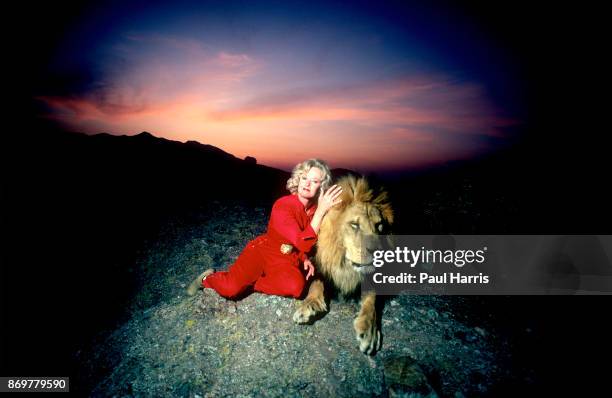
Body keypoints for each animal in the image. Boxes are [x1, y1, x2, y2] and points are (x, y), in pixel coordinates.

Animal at [294, 176, 394, 356]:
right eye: (354, 225)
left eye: (379, 226)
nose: (378, 252)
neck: (344, 262)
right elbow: (315, 283)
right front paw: (310, 305)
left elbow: (372, 301)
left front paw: (369, 332)